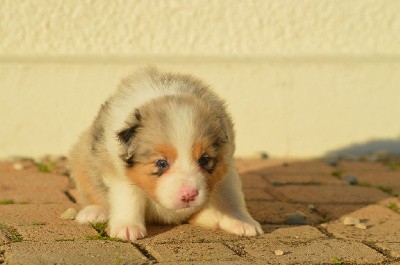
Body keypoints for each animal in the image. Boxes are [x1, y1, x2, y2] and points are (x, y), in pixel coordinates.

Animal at [69, 67, 262, 240]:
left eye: (204, 160)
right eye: (161, 163)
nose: (189, 195)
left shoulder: (226, 169)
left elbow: (229, 198)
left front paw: (241, 221)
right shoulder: (118, 170)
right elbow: (130, 197)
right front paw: (127, 228)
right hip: (82, 157)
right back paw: (94, 212)